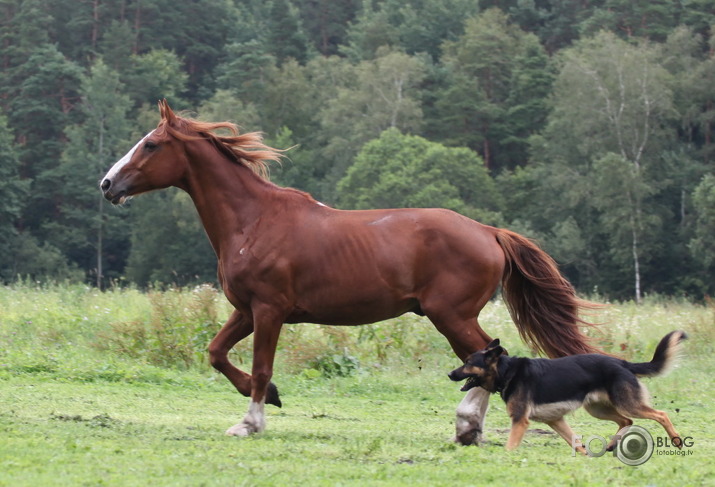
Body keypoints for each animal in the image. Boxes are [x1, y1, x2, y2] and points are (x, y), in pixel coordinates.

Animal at [99, 101, 600, 444]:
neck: (253, 220)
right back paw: (468, 429)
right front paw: (273, 397)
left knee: (487, 358)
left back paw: (465, 426)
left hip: (451, 316)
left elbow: (259, 368)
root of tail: (488, 232)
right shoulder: (245, 310)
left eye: (151, 144)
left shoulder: (269, 311)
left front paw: (251, 421)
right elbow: (217, 353)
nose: (107, 184)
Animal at [448, 332, 688, 454]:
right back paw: (611, 445)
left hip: (627, 404)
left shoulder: (520, 420)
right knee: (626, 421)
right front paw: (584, 455)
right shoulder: (555, 420)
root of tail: (622, 363)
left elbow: (510, 446)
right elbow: (575, 442)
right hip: (598, 409)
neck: (507, 371)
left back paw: (676, 441)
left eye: (468, 363)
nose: (450, 374)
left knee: (660, 415)